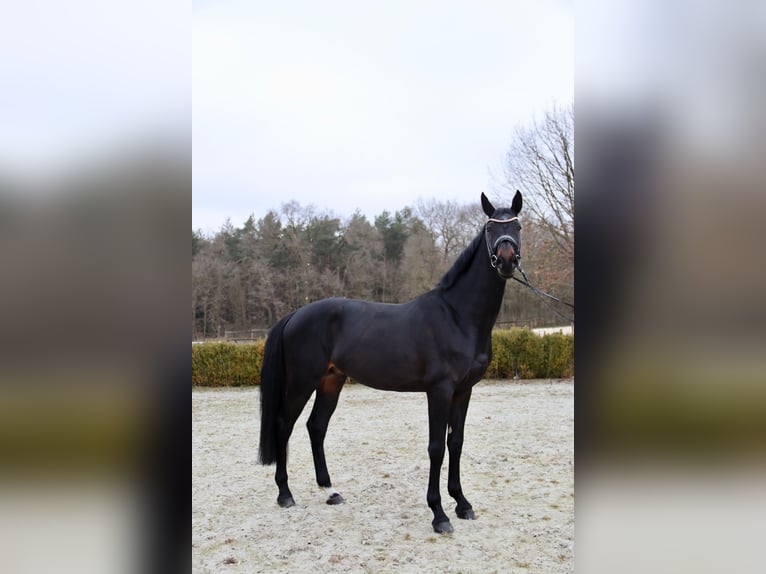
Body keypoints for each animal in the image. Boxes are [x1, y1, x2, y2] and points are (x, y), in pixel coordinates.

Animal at [258, 191, 523, 533]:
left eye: (517, 226)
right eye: (490, 228)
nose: (506, 260)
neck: (457, 316)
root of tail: (294, 315)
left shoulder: (464, 391)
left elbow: (456, 443)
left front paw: (462, 504)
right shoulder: (439, 391)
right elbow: (436, 448)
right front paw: (439, 514)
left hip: (331, 380)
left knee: (316, 427)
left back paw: (330, 491)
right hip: (302, 382)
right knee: (283, 424)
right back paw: (285, 494)